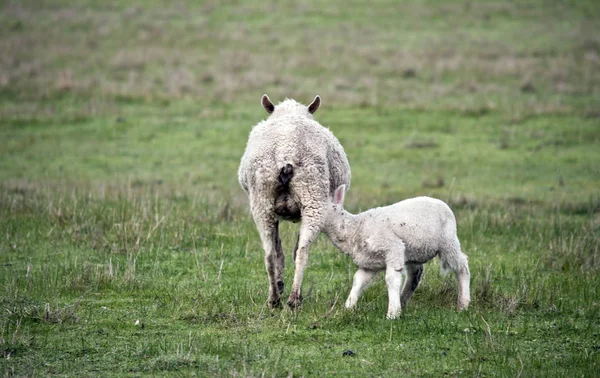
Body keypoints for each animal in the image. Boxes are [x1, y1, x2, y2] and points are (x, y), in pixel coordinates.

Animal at [238, 94, 352, 310]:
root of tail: (286, 151)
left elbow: (279, 251)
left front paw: (280, 284)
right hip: (313, 198)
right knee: (302, 252)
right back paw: (294, 299)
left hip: (262, 201)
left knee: (269, 254)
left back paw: (274, 298)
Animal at [324, 185, 468, 318]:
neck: (354, 228)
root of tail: (441, 203)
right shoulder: (368, 264)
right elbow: (358, 281)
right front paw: (348, 307)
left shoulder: (393, 248)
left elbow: (391, 278)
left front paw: (392, 313)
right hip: (414, 251)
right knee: (415, 274)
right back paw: (403, 300)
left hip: (448, 242)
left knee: (462, 265)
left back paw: (463, 304)